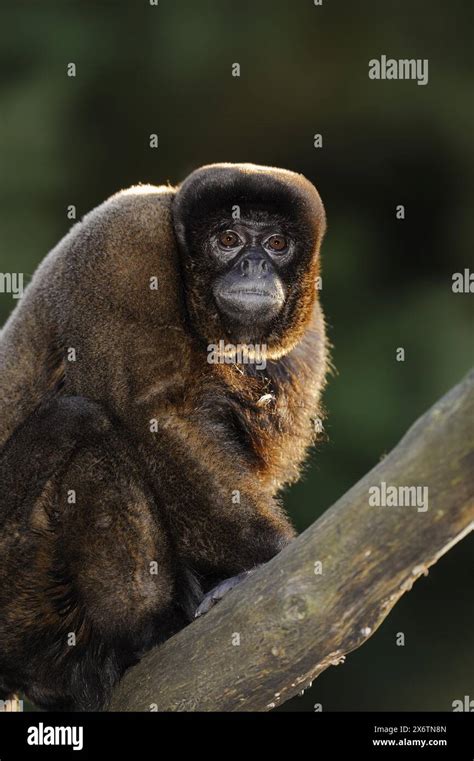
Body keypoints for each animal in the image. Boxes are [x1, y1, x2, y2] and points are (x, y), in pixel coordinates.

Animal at [0, 163, 328, 708]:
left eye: (277, 243)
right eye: (229, 238)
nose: (254, 264)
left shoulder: (308, 333)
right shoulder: (125, 249)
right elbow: (147, 415)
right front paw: (265, 561)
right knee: (81, 422)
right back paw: (145, 631)